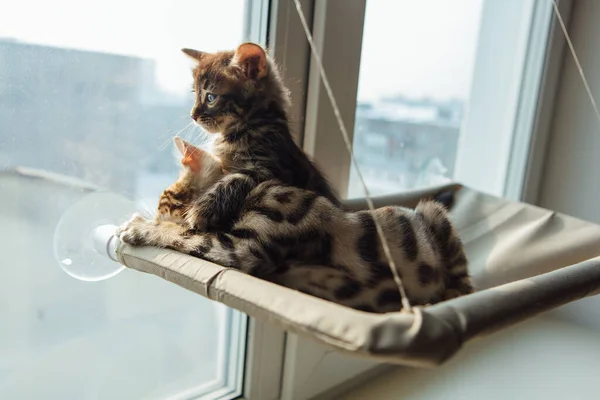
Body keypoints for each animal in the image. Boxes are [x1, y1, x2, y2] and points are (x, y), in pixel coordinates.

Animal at [118, 139, 474, 314]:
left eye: (166, 203)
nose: (156, 213)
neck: (251, 192)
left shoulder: (242, 249)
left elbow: (185, 234)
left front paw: (138, 226)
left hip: (434, 213)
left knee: (464, 287)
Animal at [179, 41, 342, 233]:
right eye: (195, 95)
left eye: (211, 97)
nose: (193, 115)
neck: (249, 126)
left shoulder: (269, 167)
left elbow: (234, 181)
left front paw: (202, 210)